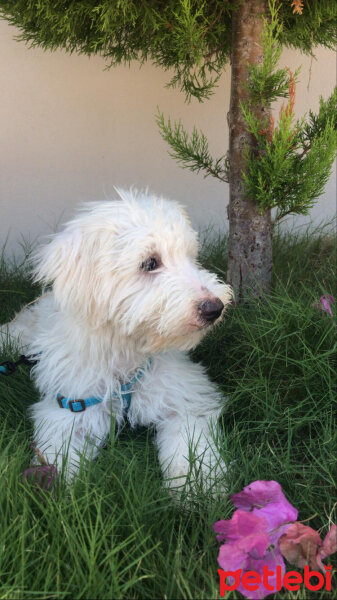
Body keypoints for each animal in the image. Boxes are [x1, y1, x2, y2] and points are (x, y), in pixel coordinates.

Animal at [1, 189, 231, 492]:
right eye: (150, 263)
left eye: (191, 257)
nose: (214, 308)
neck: (125, 351)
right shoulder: (70, 409)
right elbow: (58, 458)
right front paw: (53, 490)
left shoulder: (184, 400)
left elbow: (191, 449)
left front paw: (200, 489)